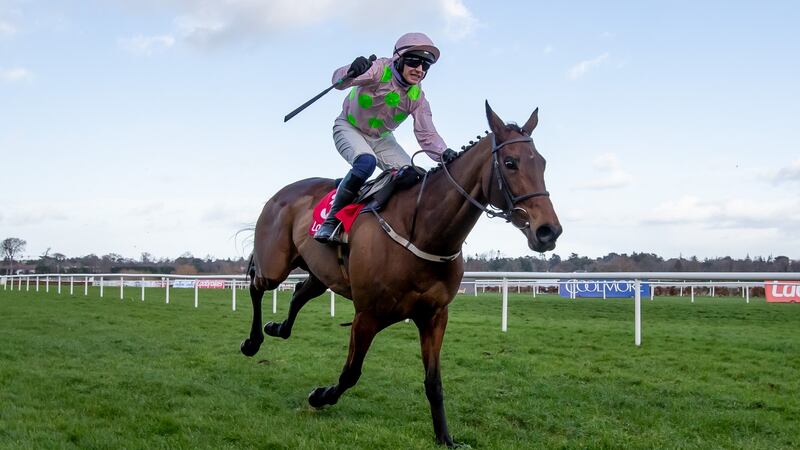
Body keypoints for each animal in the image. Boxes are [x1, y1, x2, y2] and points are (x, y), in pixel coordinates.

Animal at [241, 102, 560, 446]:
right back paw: (252, 342)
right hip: (275, 265)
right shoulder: (367, 315)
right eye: (510, 163)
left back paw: (277, 328)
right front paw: (319, 396)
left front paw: (445, 438)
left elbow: (434, 382)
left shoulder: (434, 315)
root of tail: (281, 193)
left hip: (321, 273)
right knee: (257, 285)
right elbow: (351, 373)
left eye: (542, 163)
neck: (421, 230)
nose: (548, 231)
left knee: (299, 294)